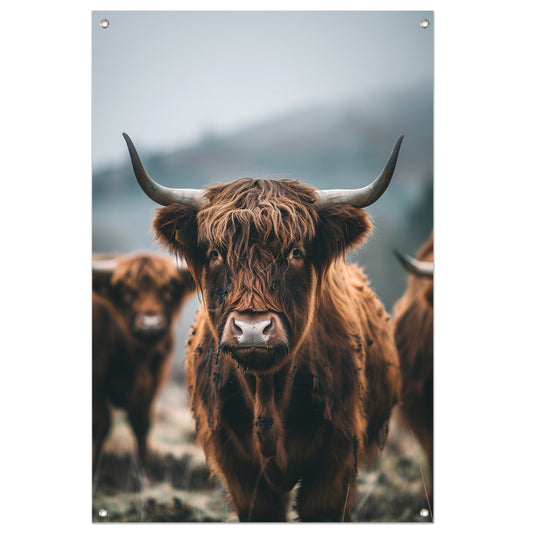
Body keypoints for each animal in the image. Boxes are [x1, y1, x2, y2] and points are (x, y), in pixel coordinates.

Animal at [92, 252, 195, 470]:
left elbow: (141, 424)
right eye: (126, 291)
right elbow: (101, 424)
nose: (150, 324)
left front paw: (143, 472)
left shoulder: (153, 381)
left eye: (169, 289)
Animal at [121, 132, 404, 520]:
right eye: (215, 253)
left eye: (296, 252)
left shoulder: (339, 453)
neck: (268, 391)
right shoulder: (235, 463)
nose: (252, 329)